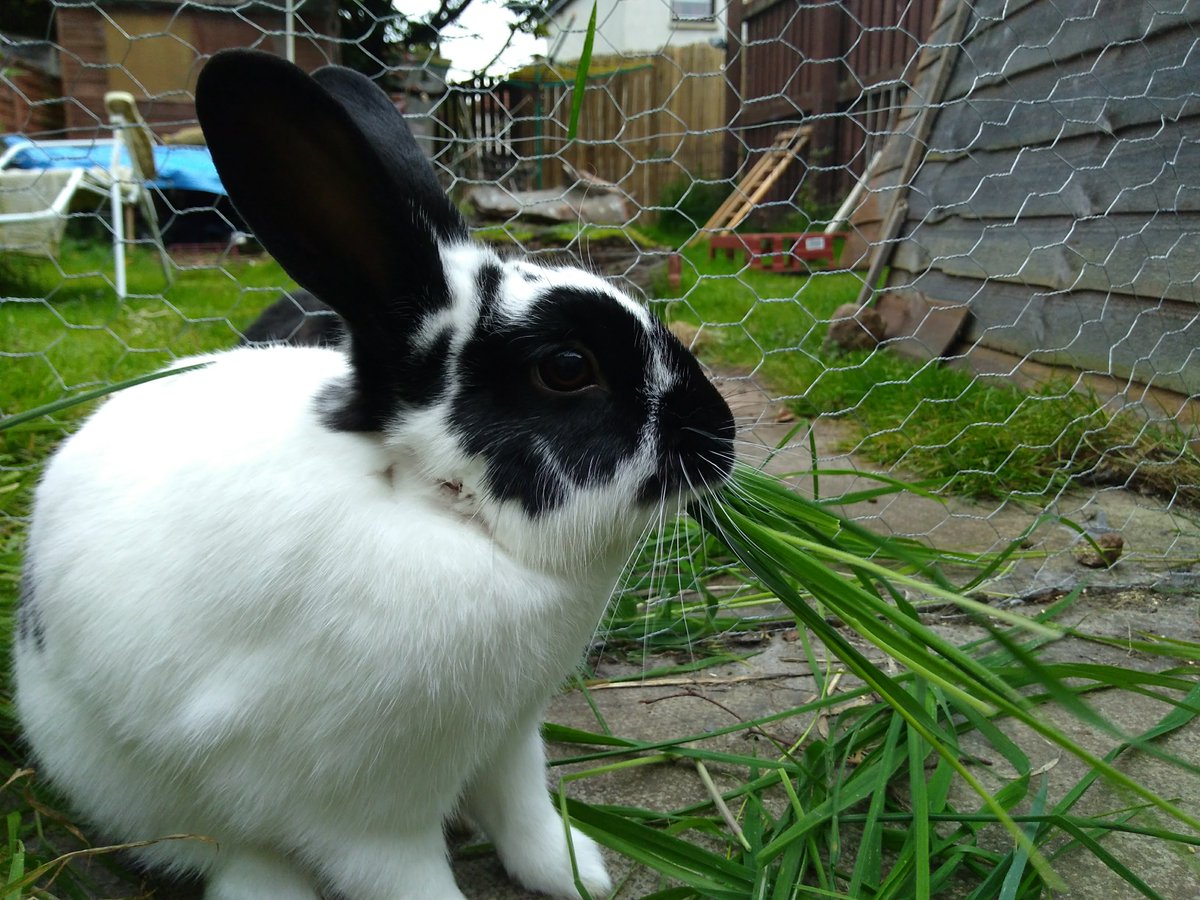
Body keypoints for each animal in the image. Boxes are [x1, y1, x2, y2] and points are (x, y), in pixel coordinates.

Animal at [14, 51, 734, 900]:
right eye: (567, 368)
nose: (723, 435)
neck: (436, 502)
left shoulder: (509, 735)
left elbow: (523, 810)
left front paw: (576, 875)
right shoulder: (365, 810)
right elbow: (407, 876)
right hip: (141, 791)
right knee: (226, 854)